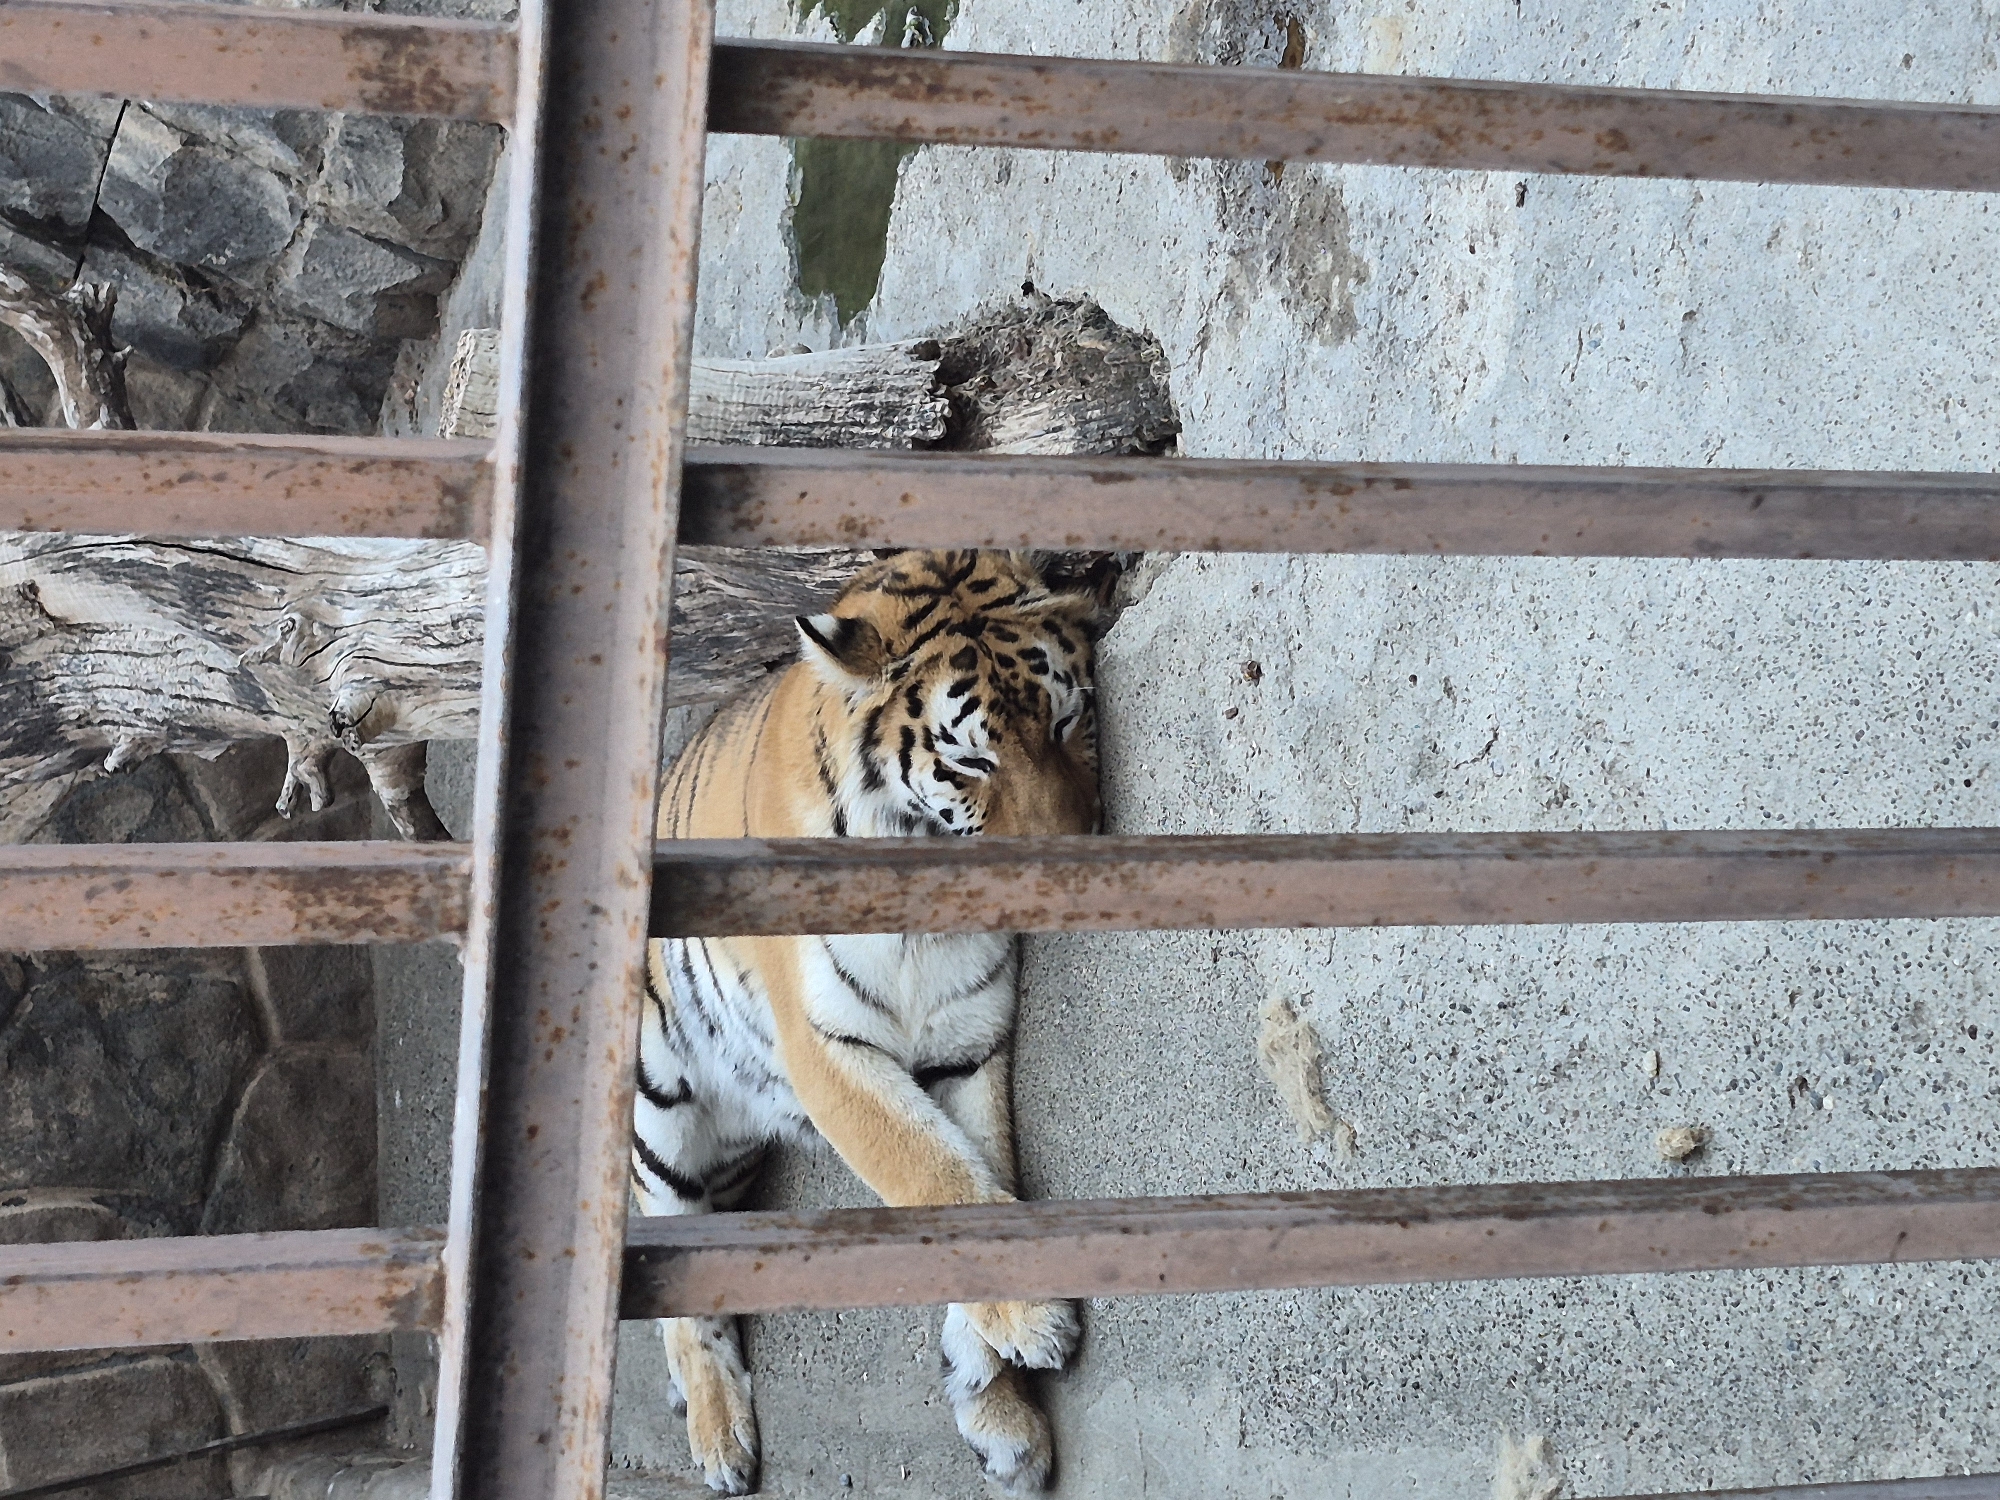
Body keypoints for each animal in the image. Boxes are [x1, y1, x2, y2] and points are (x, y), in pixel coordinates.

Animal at [633, 548, 1106, 1495]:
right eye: (971, 763)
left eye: (1070, 721)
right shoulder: (827, 1051)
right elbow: (929, 1171)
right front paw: (1036, 1323)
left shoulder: (969, 1043)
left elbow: (974, 1176)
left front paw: (999, 1410)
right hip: (655, 1108)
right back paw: (719, 1438)